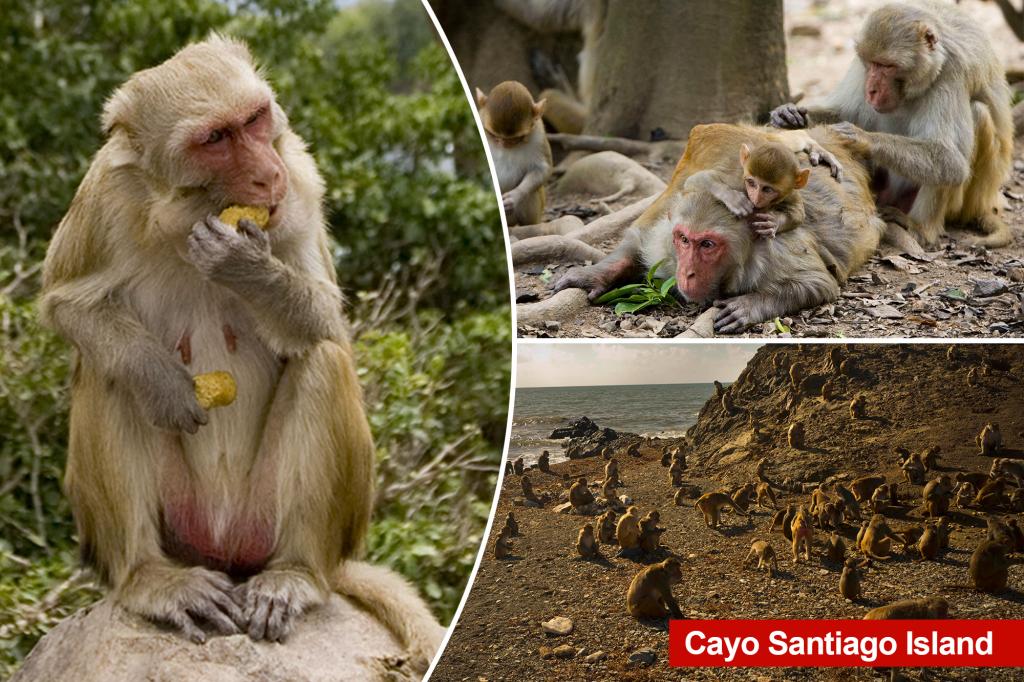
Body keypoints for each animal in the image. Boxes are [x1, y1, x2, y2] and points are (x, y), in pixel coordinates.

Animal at [37, 36, 443, 667]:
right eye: (215, 139)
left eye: (254, 120)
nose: (264, 175)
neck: (189, 211)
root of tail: (227, 550)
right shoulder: (106, 192)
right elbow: (67, 304)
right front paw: (163, 383)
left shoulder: (300, 178)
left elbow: (326, 319)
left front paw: (243, 264)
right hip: (183, 529)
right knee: (107, 374)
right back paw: (150, 577)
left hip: (273, 520)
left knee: (323, 361)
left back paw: (296, 574)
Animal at [474, 81, 551, 226]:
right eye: (492, 134)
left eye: (517, 138)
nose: (505, 144)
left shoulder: (539, 134)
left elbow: (542, 169)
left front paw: (515, 196)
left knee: (532, 195)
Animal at [552, 123, 884, 333]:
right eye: (684, 240)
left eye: (708, 245)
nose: (686, 273)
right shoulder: (665, 236)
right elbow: (639, 239)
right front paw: (594, 274)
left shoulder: (776, 250)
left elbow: (818, 282)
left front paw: (749, 305)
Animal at [770, 2, 1013, 249]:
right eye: (871, 63)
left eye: (887, 66)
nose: (871, 90)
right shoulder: (861, 67)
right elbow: (843, 111)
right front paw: (789, 115)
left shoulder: (953, 74)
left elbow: (952, 161)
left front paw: (861, 137)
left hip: (966, 203)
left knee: (976, 114)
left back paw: (921, 228)